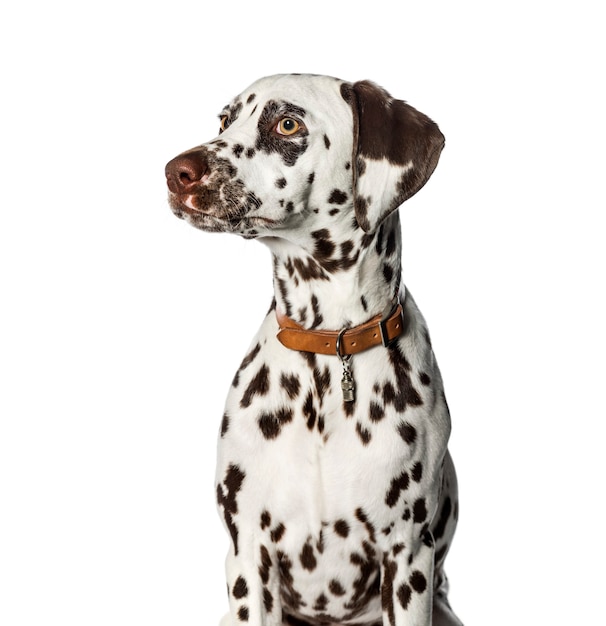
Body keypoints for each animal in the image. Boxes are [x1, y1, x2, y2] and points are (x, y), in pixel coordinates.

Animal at [164, 74, 464, 624]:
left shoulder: (407, 557)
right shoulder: (249, 556)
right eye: (225, 119)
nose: (177, 171)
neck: (329, 352)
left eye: (287, 123)